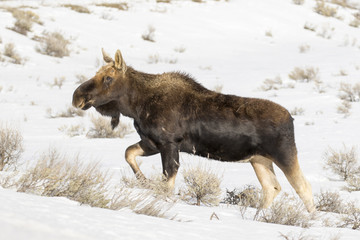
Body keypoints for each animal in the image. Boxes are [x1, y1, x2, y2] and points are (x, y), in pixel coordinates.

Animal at [72, 48, 316, 212]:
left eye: (108, 77)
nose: (77, 97)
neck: (136, 105)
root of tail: (291, 118)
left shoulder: (169, 143)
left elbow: (168, 180)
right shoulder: (152, 142)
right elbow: (129, 153)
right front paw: (145, 182)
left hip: (284, 154)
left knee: (304, 187)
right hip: (259, 159)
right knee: (272, 188)